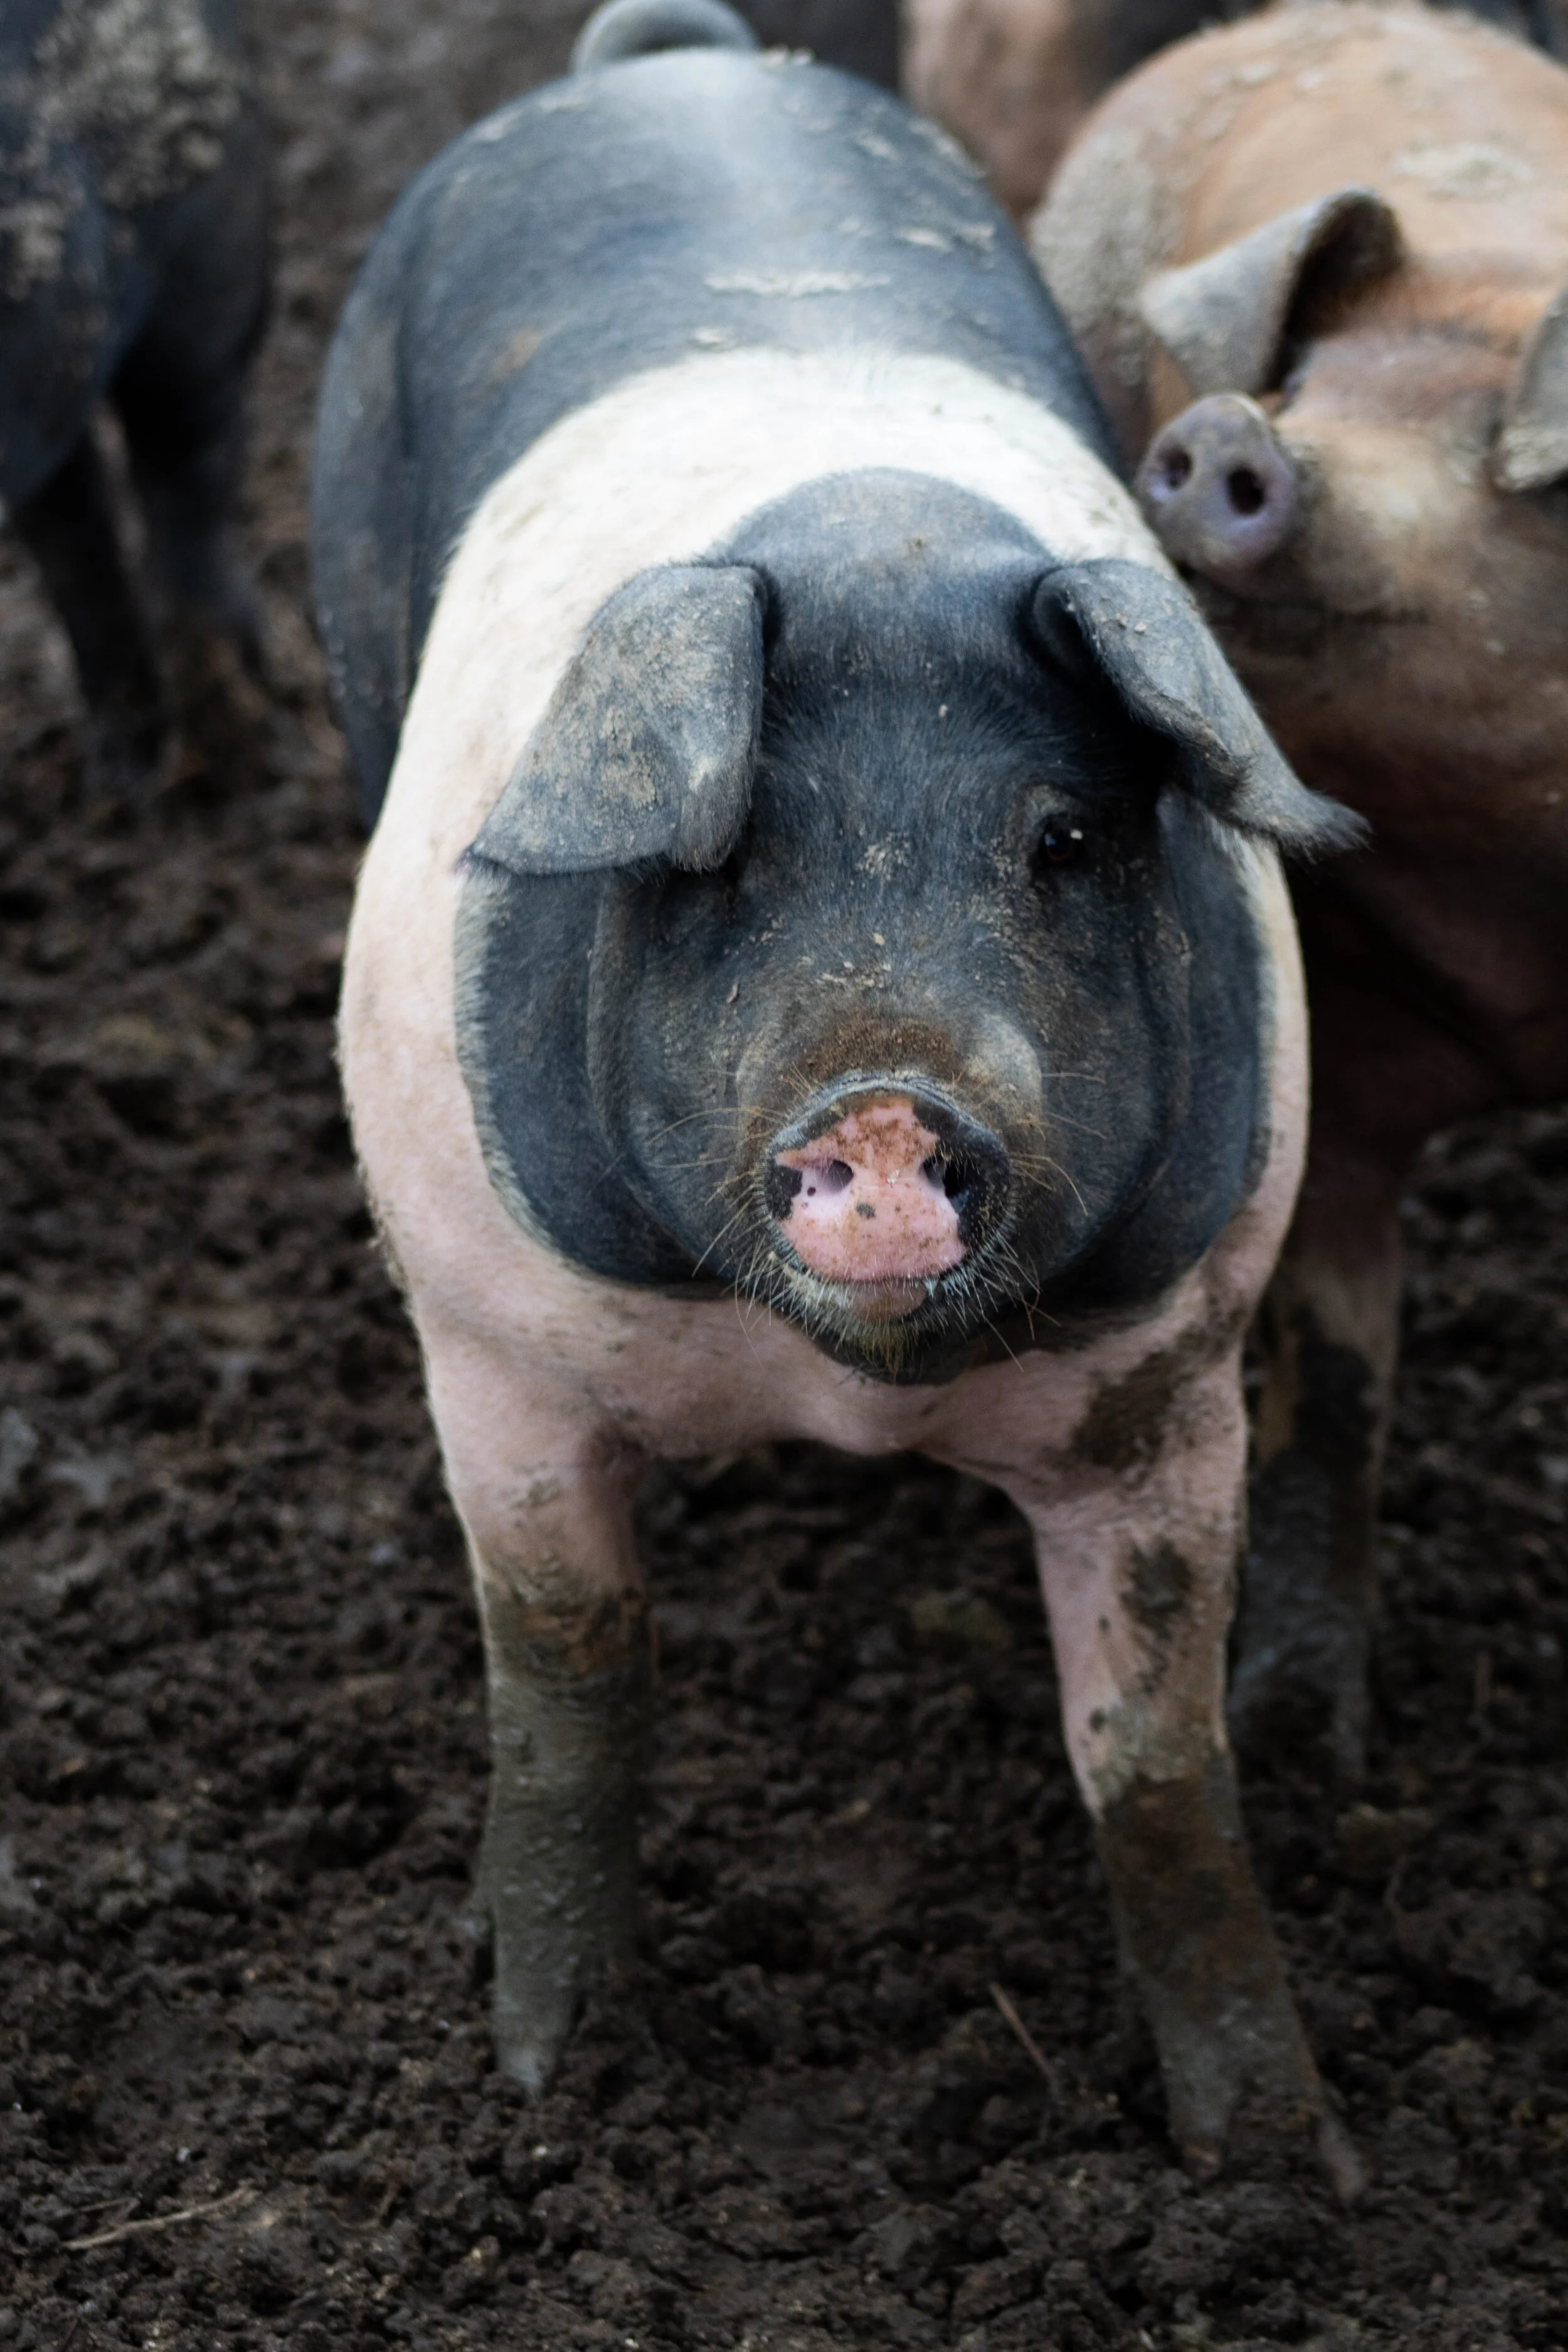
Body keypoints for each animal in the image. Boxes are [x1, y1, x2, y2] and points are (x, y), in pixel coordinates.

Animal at [312, 0, 1362, 2183]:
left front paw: (1280, 2167)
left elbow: (1158, 1765)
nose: (884, 1102)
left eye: (1064, 837)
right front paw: (545, 2084)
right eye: (717, 864)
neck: (840, 1393)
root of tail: (669, 58)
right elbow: (570, 1686)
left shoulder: (1169, 1376)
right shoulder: (489, 1342)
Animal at [1032, 2, 1568, 1778]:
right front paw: (1297, 1746)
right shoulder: (1336, 1040)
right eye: (1309, 383)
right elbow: (1335, 1378)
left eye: (1523, 471)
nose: (1233, 435)